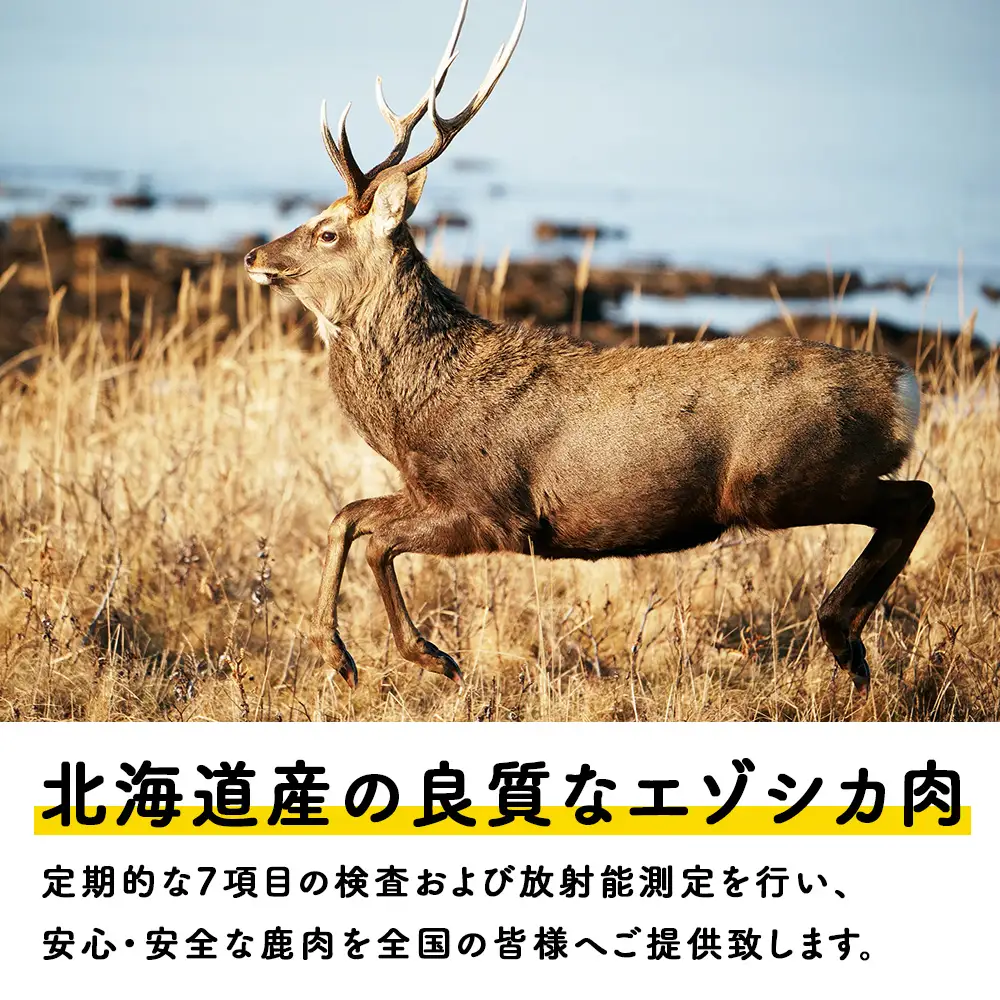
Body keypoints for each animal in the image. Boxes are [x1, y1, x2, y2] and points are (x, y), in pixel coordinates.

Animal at [244, 0, 934, 698]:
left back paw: (843, 637)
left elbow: (377, 538)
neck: (416, 412)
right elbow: (347, 516)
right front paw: (341, 657)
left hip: (785, 478)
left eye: (327, 232)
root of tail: (903, 387)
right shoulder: (428, 491)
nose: (254, 256)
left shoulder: (493, 509)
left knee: (916, 497)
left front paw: (429, 655)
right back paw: (849, 645)